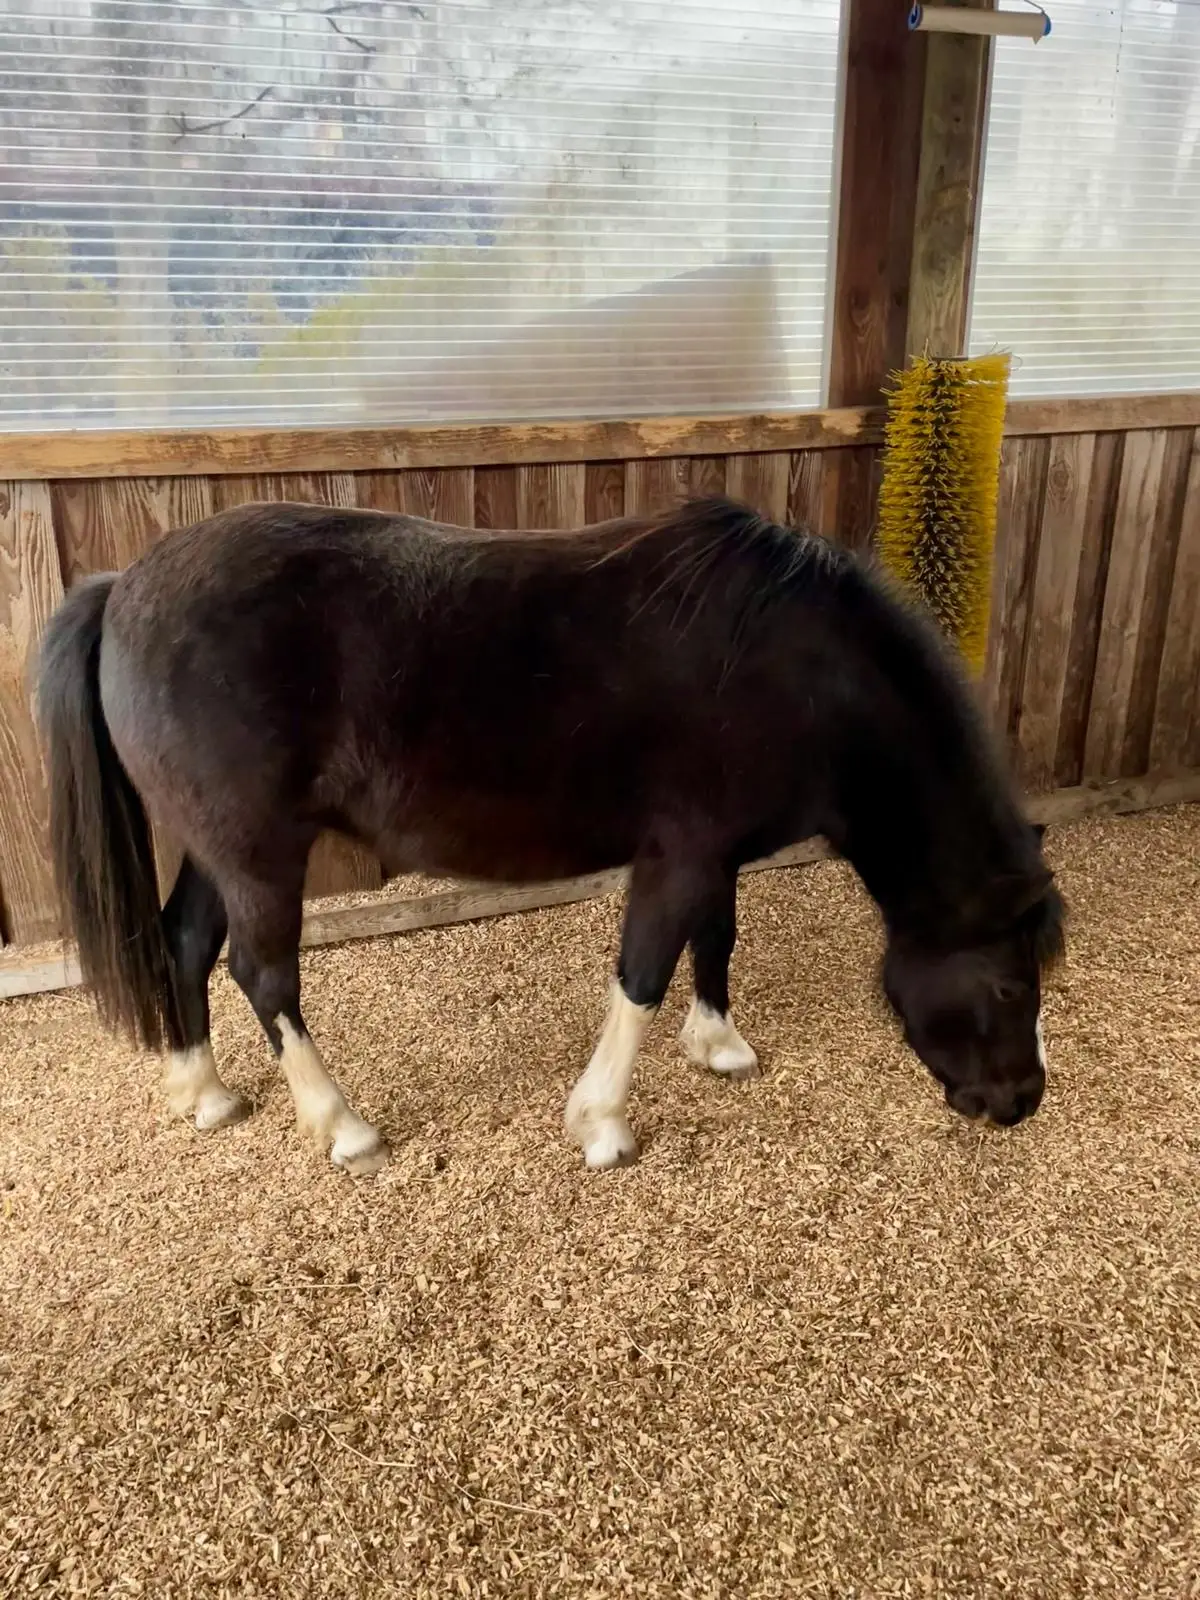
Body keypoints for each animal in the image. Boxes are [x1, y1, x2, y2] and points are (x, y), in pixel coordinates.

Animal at [36, 495, 1065, 1177]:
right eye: (1012, 984)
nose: (1021, 1103)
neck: (803, 671)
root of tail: (123, 587)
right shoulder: (677, 854)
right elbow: (642, 974)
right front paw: (601, 1120)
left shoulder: (715, 852)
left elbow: (717, 937)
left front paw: (718, 1044)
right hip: (259, 855)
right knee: (264, 975)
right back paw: (342, 1125)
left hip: (222, 850)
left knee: (184, 941)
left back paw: (202, 1092)